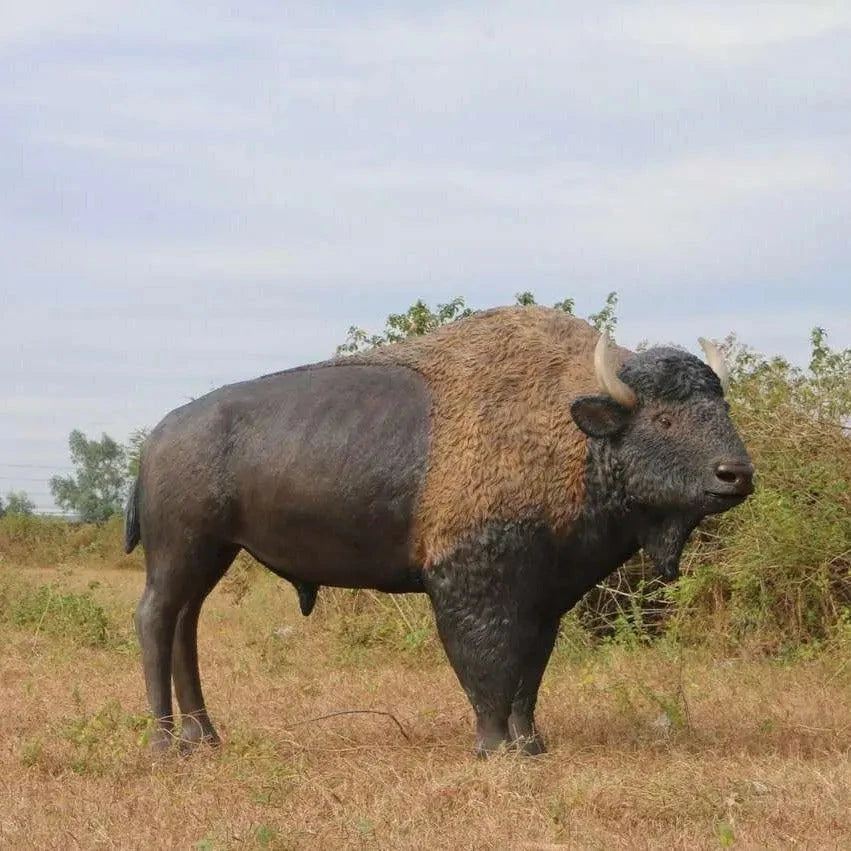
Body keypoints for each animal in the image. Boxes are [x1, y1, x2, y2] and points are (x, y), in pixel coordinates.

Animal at [125, 306, 754, 756]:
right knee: (156, 618)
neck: (574, 428)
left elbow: (528, 675)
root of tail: (157, 437)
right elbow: (487, 666)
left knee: (185, 625)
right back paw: (164, 746)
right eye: (663, 419)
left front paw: (532, 746)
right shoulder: (471, 585)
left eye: (721, 410)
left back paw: (205, 739)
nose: (737, 473)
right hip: (181, 550)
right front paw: (495, 748)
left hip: (213, 554)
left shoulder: (543, 596)